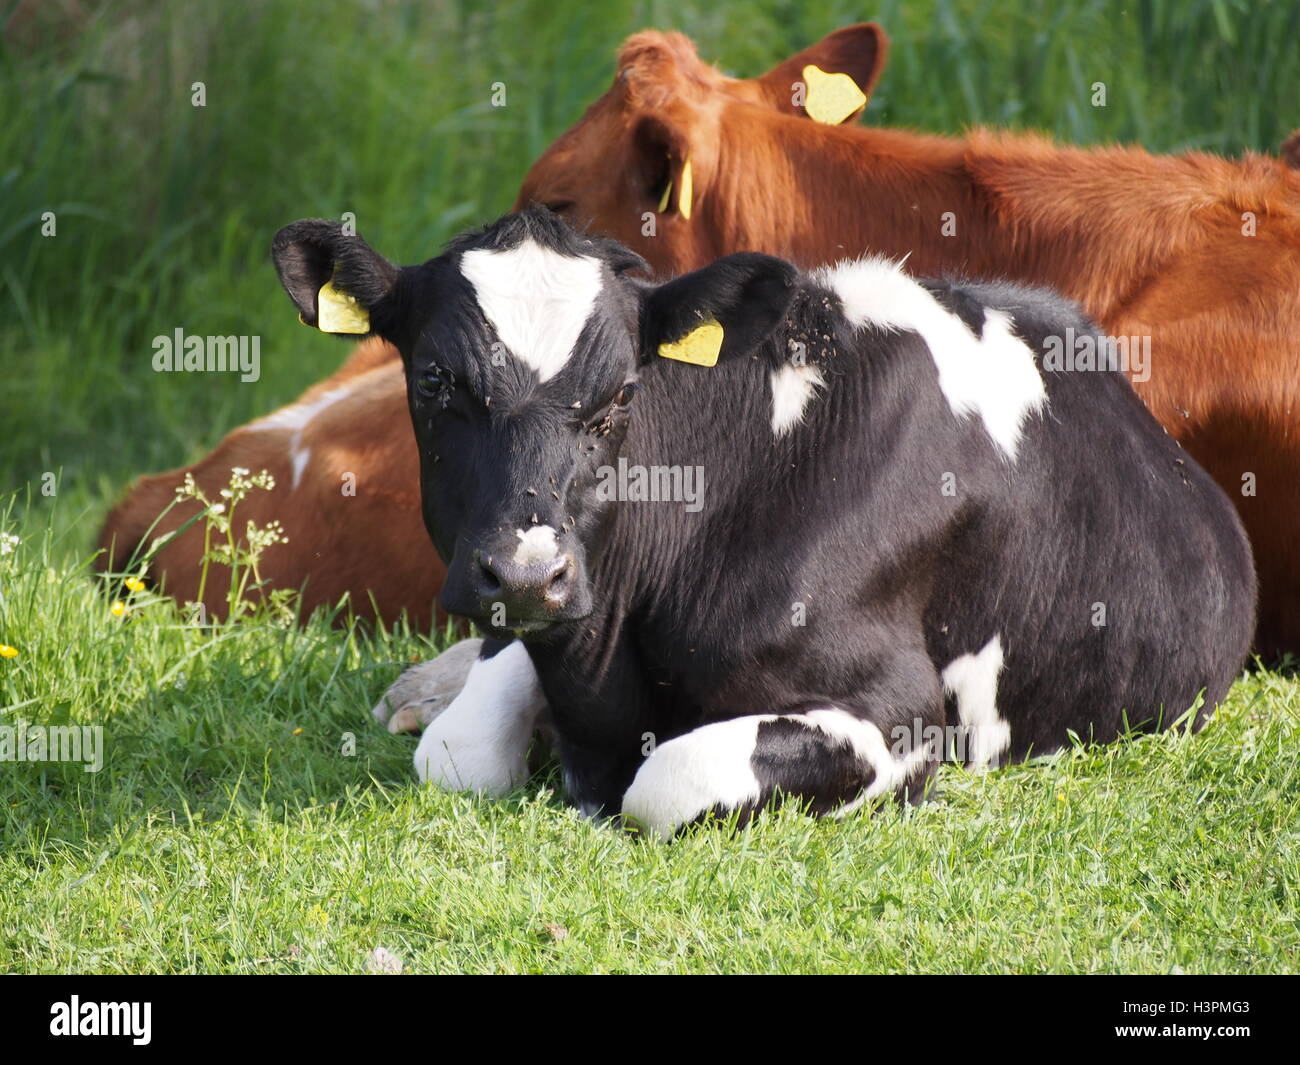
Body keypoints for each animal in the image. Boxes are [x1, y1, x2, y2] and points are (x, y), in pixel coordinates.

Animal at [272, 207, 1255, 836]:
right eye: (435, 380)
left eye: (621, 393)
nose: (525, 572)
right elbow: (458, 751)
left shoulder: (900, 712)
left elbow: (667, 780)